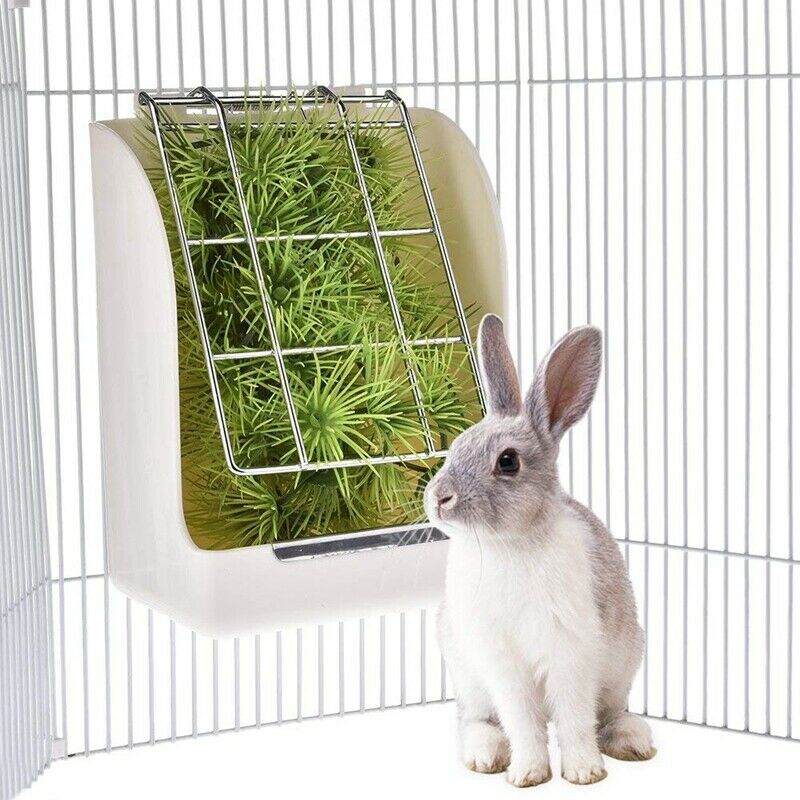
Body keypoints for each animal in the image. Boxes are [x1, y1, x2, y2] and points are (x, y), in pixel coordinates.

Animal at [424, 315, 654, 788]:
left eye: (508, 461)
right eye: (455, 446)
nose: (438, 498)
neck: (509, 544)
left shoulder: (572, 652)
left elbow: (574, 718)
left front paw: (584, 773)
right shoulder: (502, 664)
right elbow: (522, 721)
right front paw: (528, 774)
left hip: (624, 665)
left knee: (608, 714)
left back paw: (633, 741)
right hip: (467, 677)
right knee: (474, 720)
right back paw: (485, 756)